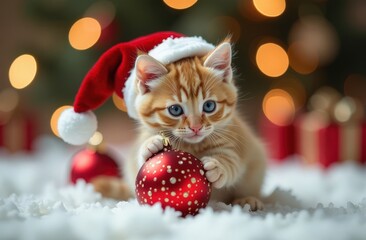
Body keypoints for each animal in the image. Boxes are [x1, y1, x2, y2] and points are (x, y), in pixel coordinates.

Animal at [93, 39, 268, 210]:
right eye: (175, 109)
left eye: (209, 106)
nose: (196, 127)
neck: (192, 146)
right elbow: (140, 160)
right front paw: (150, 145)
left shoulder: (234, 141)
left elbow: (232, 161)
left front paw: (218, 167)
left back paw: (247, 200)